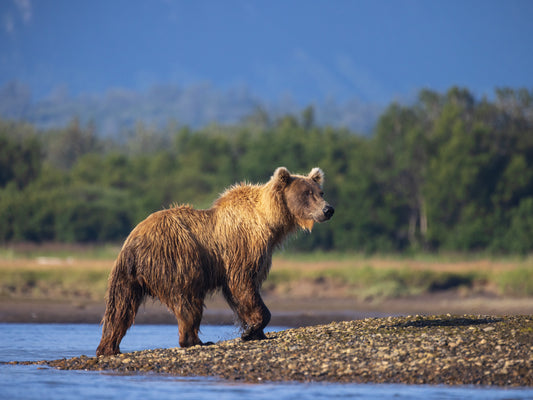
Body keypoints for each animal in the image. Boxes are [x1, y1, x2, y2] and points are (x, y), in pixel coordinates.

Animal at [95, 166, 332, 356]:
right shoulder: (244, 247)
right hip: (177, 258)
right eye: (307, 193)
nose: (328, 209)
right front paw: (253, 329)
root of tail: (134, 244)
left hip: (124, 275)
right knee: (188, 301)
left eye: (320, 192)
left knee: (119, 308)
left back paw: (108, 347)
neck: (269, 221)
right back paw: (196, 340)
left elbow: (239, 294)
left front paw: (255, 331)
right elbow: (242, 284)